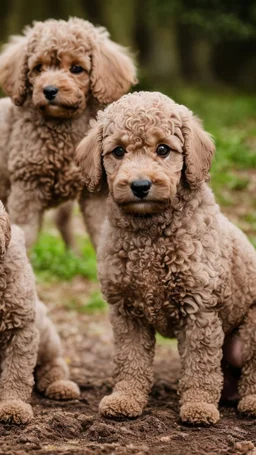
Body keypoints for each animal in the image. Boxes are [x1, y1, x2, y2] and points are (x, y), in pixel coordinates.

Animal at [0, 16, 136, 249]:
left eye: (76, 68)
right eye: (38, 68)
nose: (49, 90)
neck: (63, 128)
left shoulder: (94, 195)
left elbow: (99, 235)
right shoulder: (26, 190)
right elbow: (26, 238)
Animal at [0, 203, 80, 424]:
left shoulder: (20, 329)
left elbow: (16, 374)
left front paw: (12, 406)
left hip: (46, 336)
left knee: (53, 364)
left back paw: (59, 385)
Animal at [76, 92, 256, 428]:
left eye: (163, 149)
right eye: (118, 151)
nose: (140, 185)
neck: (150, 235)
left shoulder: (200, 310)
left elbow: (200, 366)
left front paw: (198, 407)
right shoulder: (126, 311)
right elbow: (130, 360)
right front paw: (125, 399)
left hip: (251, 329)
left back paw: (250, 401)